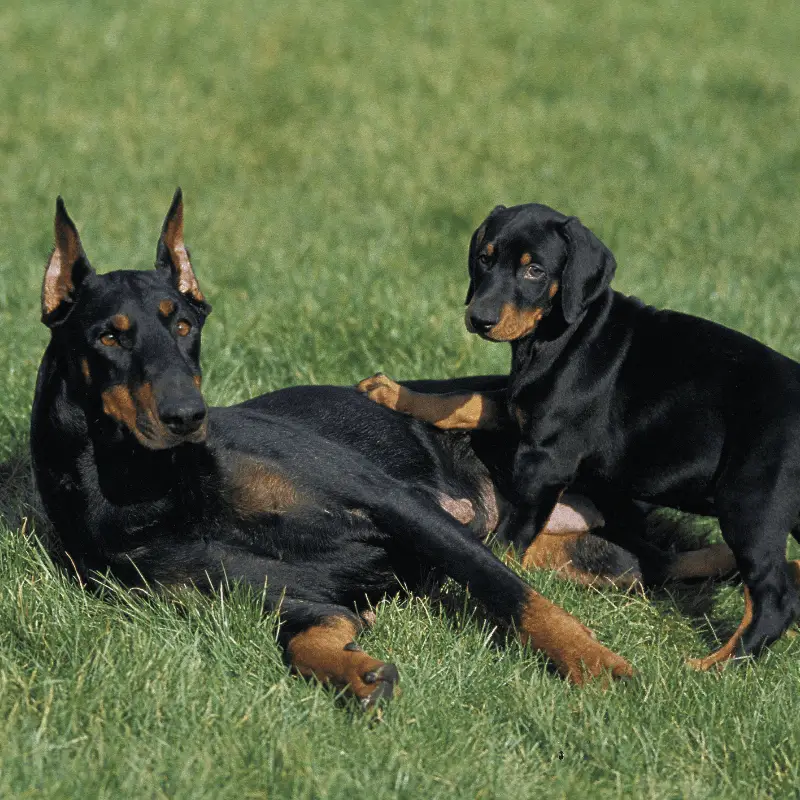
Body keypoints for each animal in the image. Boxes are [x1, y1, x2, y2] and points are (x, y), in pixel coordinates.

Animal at [29, 191, 648, 708]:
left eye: (182, 325)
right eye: (110, 336)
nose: (187, 417)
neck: (160, 487)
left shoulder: (398, 502)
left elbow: (513, 596)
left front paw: (596, 665)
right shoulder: (275, 594)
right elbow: (306, 635)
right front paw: (359, 673)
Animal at [360, 202, 800, 668]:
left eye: (534, 270)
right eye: (484, 258)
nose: (479, 319)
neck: (564, 334)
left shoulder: (545, 461)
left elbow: (508, 541)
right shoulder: (521, 410)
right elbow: (469, 400)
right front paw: (391, 392)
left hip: (752, 503)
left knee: (773, 599)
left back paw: (710, 666)